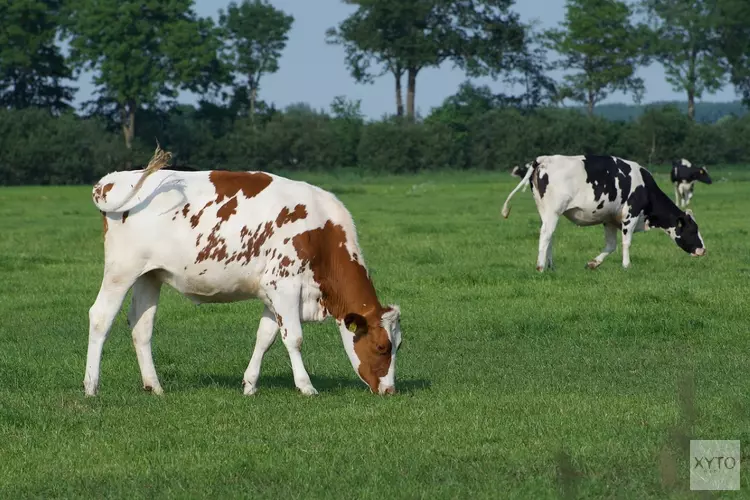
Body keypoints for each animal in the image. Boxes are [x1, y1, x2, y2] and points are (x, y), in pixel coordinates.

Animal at [85, 146, 402, 396]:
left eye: (398, 346)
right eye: (381, 347)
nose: (389, 390)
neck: (321, 234)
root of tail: (112, 180)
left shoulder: (273, 294)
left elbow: (265, 338)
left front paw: (250, 384)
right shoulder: (283, 285)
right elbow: (294, 338)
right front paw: (306, 386)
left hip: (149, 275)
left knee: (141, 325)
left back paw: (155, 386)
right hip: (121, 270)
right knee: (101, 317)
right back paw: (91, 387)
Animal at [502, 156, 708, 274]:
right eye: (692, 229)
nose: (703, 250)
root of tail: (544, 159)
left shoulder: (609, 219)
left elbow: (610, 246)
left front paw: (593, 263)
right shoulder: (630, 215)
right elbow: (626, 243)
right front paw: (627, 265)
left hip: (546, 211)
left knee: (549, 236)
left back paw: (551, 266)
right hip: (553, 211)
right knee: (545, 235)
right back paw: (540, 267)